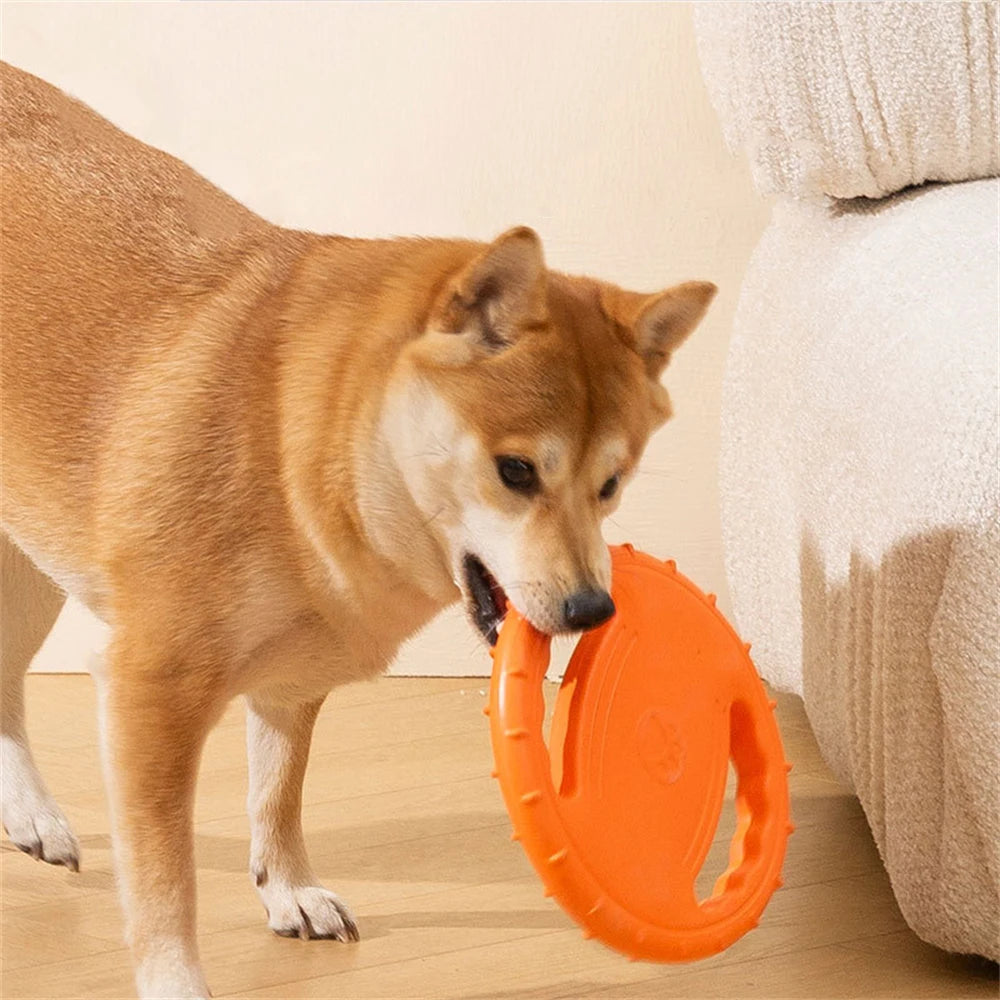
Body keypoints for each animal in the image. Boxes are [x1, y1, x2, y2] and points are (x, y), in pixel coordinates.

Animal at [1, 64, 720, 1000]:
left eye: (611, 485)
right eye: (516, 471)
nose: (593, 610)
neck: (288, 440)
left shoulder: (292, 677)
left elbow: (277, 792)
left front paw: (288, 890)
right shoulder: (150, 691)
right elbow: (165, 883)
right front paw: (176, 981)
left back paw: (31, 815)